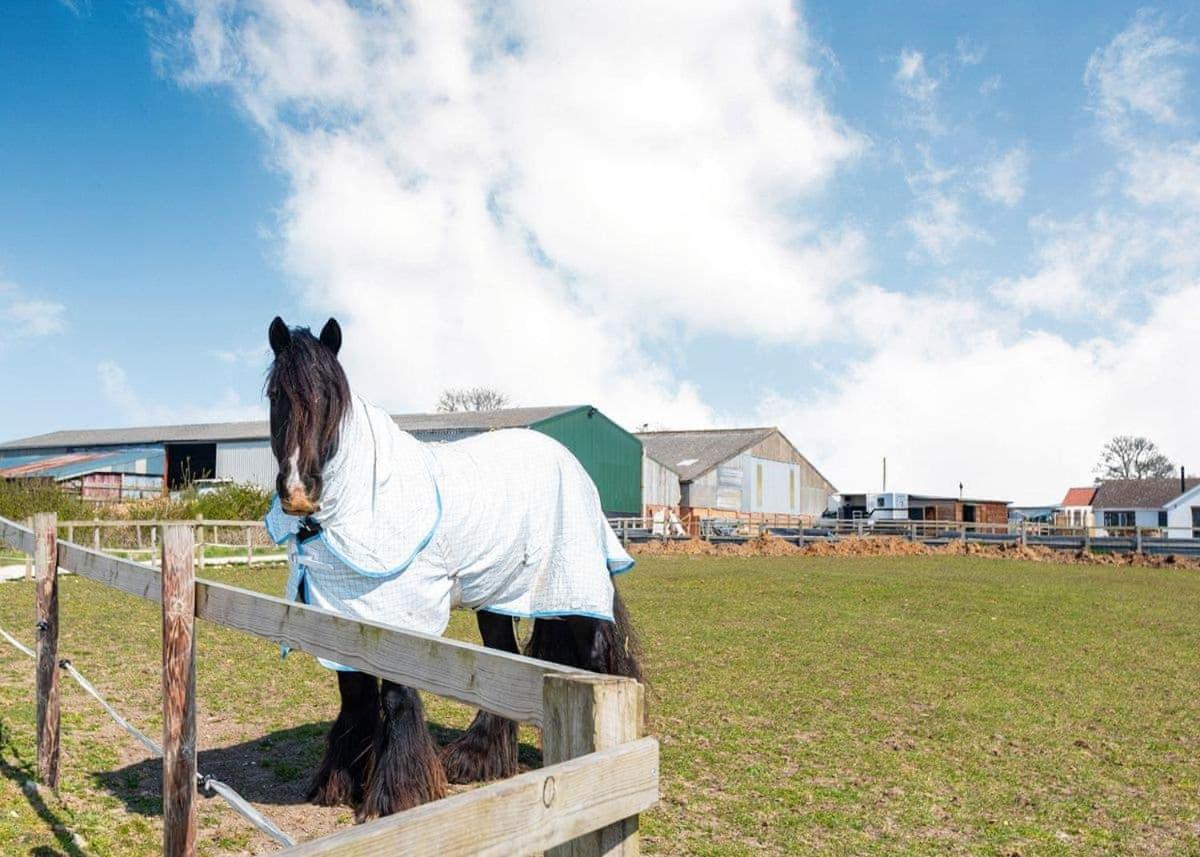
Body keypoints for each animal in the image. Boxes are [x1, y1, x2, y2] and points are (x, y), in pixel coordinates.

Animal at [266, 316, 643, 816]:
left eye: (330, 397)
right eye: (276, 395)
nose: (297, 492)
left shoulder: (401, 611)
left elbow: (395, 692)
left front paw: (398, 793)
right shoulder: (339, 612)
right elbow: (356, 692)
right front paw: (342, 781)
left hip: (571, 589)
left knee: (597, 658)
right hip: (501, 597)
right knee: (504, 658)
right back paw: (479, 758)